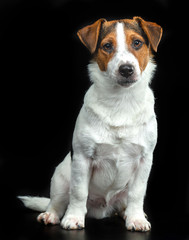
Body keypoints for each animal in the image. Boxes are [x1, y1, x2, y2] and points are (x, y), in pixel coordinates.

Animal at [18, 15, 162, 232]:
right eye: (107, 46)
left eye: (137, 43)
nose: (126, 70)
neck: (121, 101)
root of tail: (102, 210)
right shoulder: (82, 158)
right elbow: (78, 192)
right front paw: (73, 218)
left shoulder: (145, 160)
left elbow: (137, 193)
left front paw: (136, 219)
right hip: (61, 176)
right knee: (58, 201)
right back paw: (51, 215)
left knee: (125, 202)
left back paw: (128, 213)